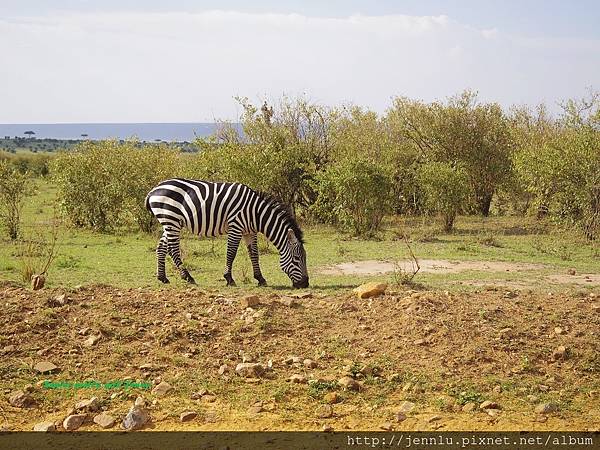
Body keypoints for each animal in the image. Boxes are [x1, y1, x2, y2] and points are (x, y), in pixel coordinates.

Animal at [142, 178, 308, 288]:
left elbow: (254, 254)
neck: (256, 213)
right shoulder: (236, 226)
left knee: (162, 247)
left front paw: (260, 279)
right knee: (174, 250)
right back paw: (188, 277)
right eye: (297, 259)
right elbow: (231, 253)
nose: (305, 284)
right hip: (172, 220)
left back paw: (163, 278)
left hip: (169, 222)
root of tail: (153, 190)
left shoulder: (250, 232)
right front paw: (229, 278)